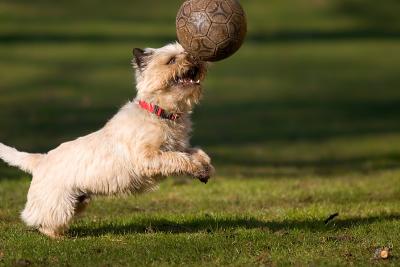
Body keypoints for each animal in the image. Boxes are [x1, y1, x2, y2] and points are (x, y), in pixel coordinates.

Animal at [0, 43, 214, 240]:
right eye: (171, 60)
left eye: (185, 51)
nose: (195, 57)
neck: (160, 113)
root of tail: (40, 160)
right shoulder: (147, 158)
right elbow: (177, 158)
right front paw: (195, 167)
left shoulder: (180, 146)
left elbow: (195, 152)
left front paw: (205, 168)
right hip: (58, 203)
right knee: (42, 221)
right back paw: (58, 237)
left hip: (78, 201)